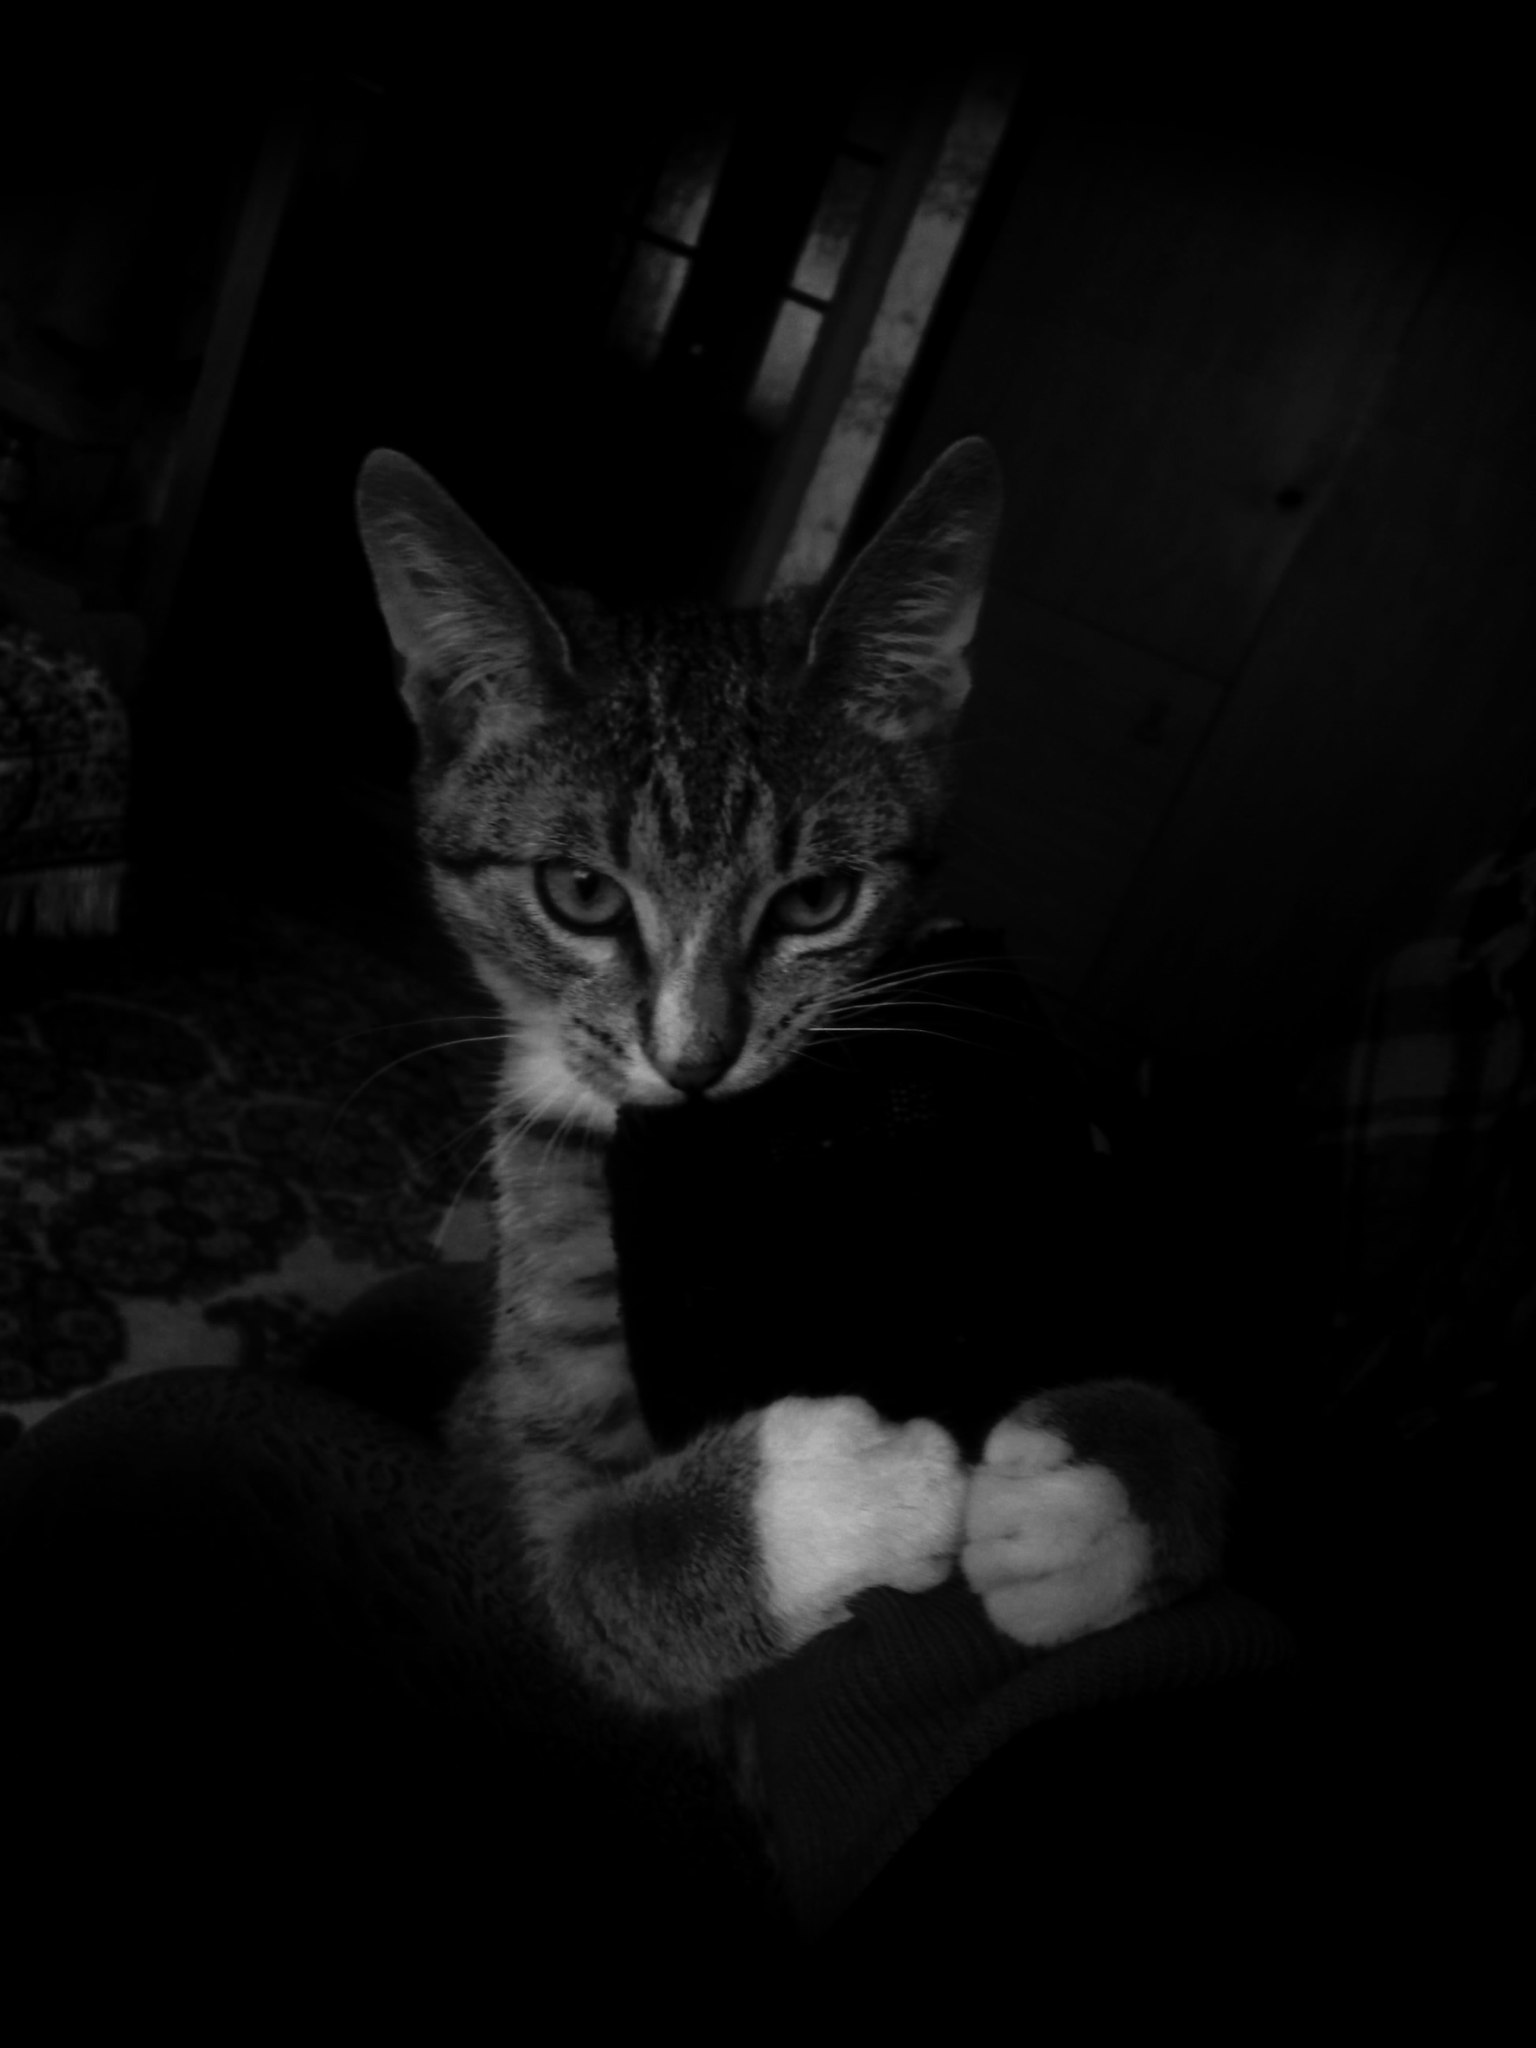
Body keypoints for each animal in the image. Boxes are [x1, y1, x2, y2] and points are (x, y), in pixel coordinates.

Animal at [354, 438, 1226, 1717]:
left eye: (815, 899)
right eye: (581, 893)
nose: (695, 1060)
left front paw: (1106, 1484)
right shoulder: (513, 1478)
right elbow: (583, 1576)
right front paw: (828, 1494)